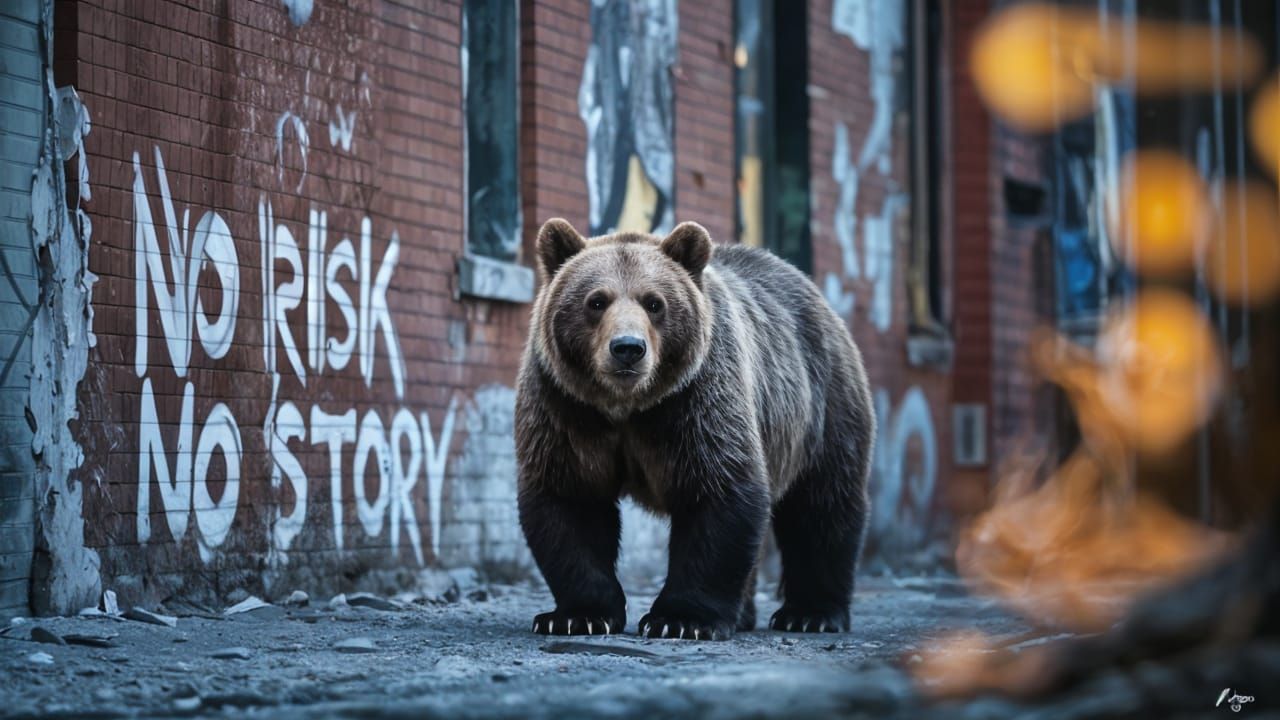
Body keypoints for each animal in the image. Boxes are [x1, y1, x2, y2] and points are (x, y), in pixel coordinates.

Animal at [515, 218, 875, 640]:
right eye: (597, 301)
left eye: (654, 302)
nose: (627, 348)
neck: (627, 407)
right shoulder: (567, 407)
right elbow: (572, 499)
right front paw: (577, 615)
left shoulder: (696, 401)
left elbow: (718, 490)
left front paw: (681, 619)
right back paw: (747, 614)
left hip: (822, 405)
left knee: (821, 505)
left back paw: (810, 613)